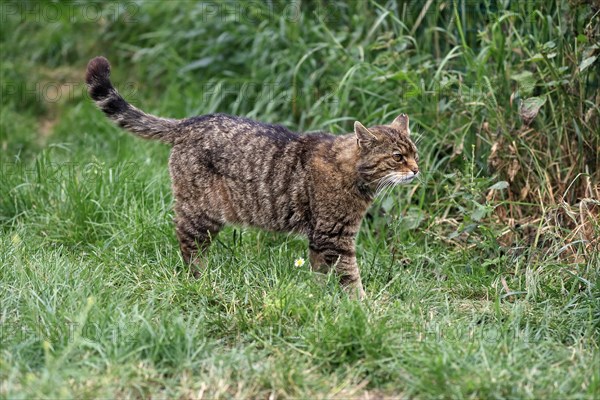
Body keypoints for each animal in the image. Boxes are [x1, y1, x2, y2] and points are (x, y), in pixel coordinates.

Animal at [86, 57, 420, 300]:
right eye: (397, 157)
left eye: (415, 153)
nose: (417, 169)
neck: (354, 177)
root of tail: (190, 122)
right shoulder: (334, 236)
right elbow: (351, 276)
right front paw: (362, 306)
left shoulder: (320, 237)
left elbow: (319, 272)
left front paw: (319, 298)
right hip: (201, 211)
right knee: (187, 243)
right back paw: (198, 279)